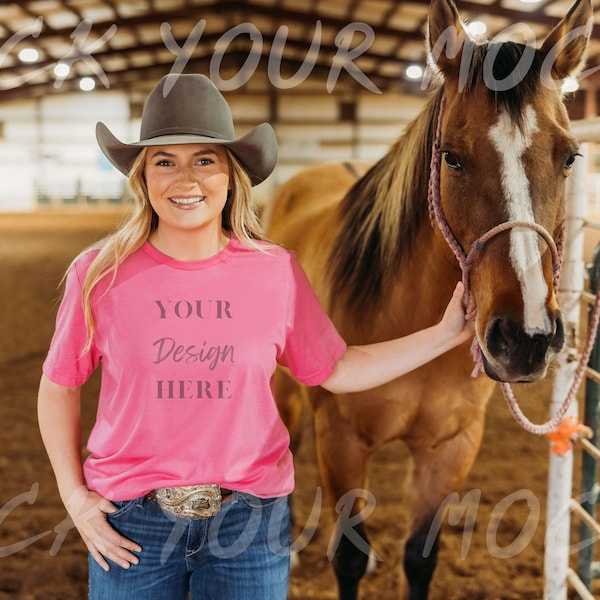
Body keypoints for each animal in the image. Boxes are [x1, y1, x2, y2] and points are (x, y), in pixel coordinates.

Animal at [266, 0, 592, 596]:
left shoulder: (449, 450)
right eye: (452, 157)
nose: (526, 337)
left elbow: (419, 559)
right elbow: (349, 558)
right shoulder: (342, 438)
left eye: (570, 157)